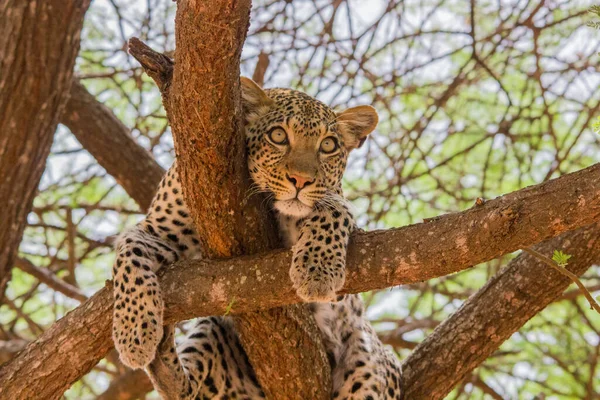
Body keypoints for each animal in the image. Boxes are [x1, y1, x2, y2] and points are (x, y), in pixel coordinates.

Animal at [111, 76, 404, 398]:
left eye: (328, 145)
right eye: (278, 136)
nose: (301, 180)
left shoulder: (331, 203)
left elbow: (334, 209)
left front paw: (317, 271)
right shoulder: (161, 230)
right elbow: (128, 253)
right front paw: (132, 331)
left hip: (369, 361)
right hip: (212, 331)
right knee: (187, 390)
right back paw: (161, 357)